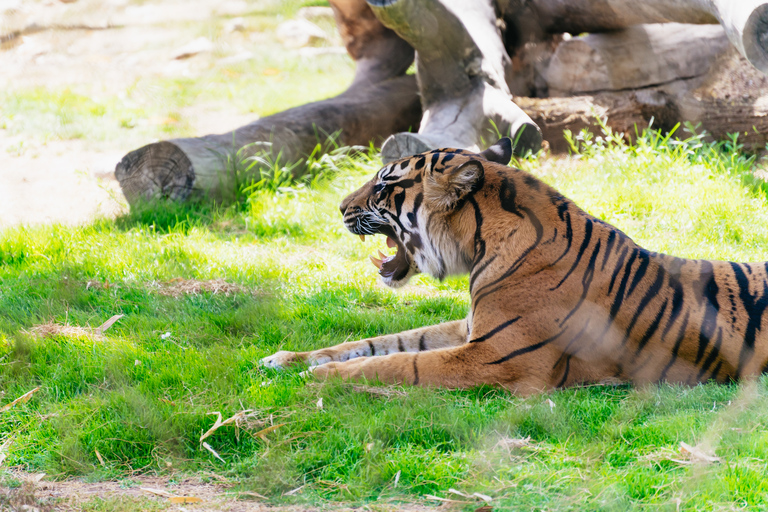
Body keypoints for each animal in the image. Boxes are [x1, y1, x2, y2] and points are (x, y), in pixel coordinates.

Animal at [260, 138, 768, 394]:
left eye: (385, 185)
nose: (339, 207)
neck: (480, 246)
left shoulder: (493, 357)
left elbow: (400, 364)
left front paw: (315, 377)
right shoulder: (469, 329)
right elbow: (378, 343)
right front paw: (286, 359)